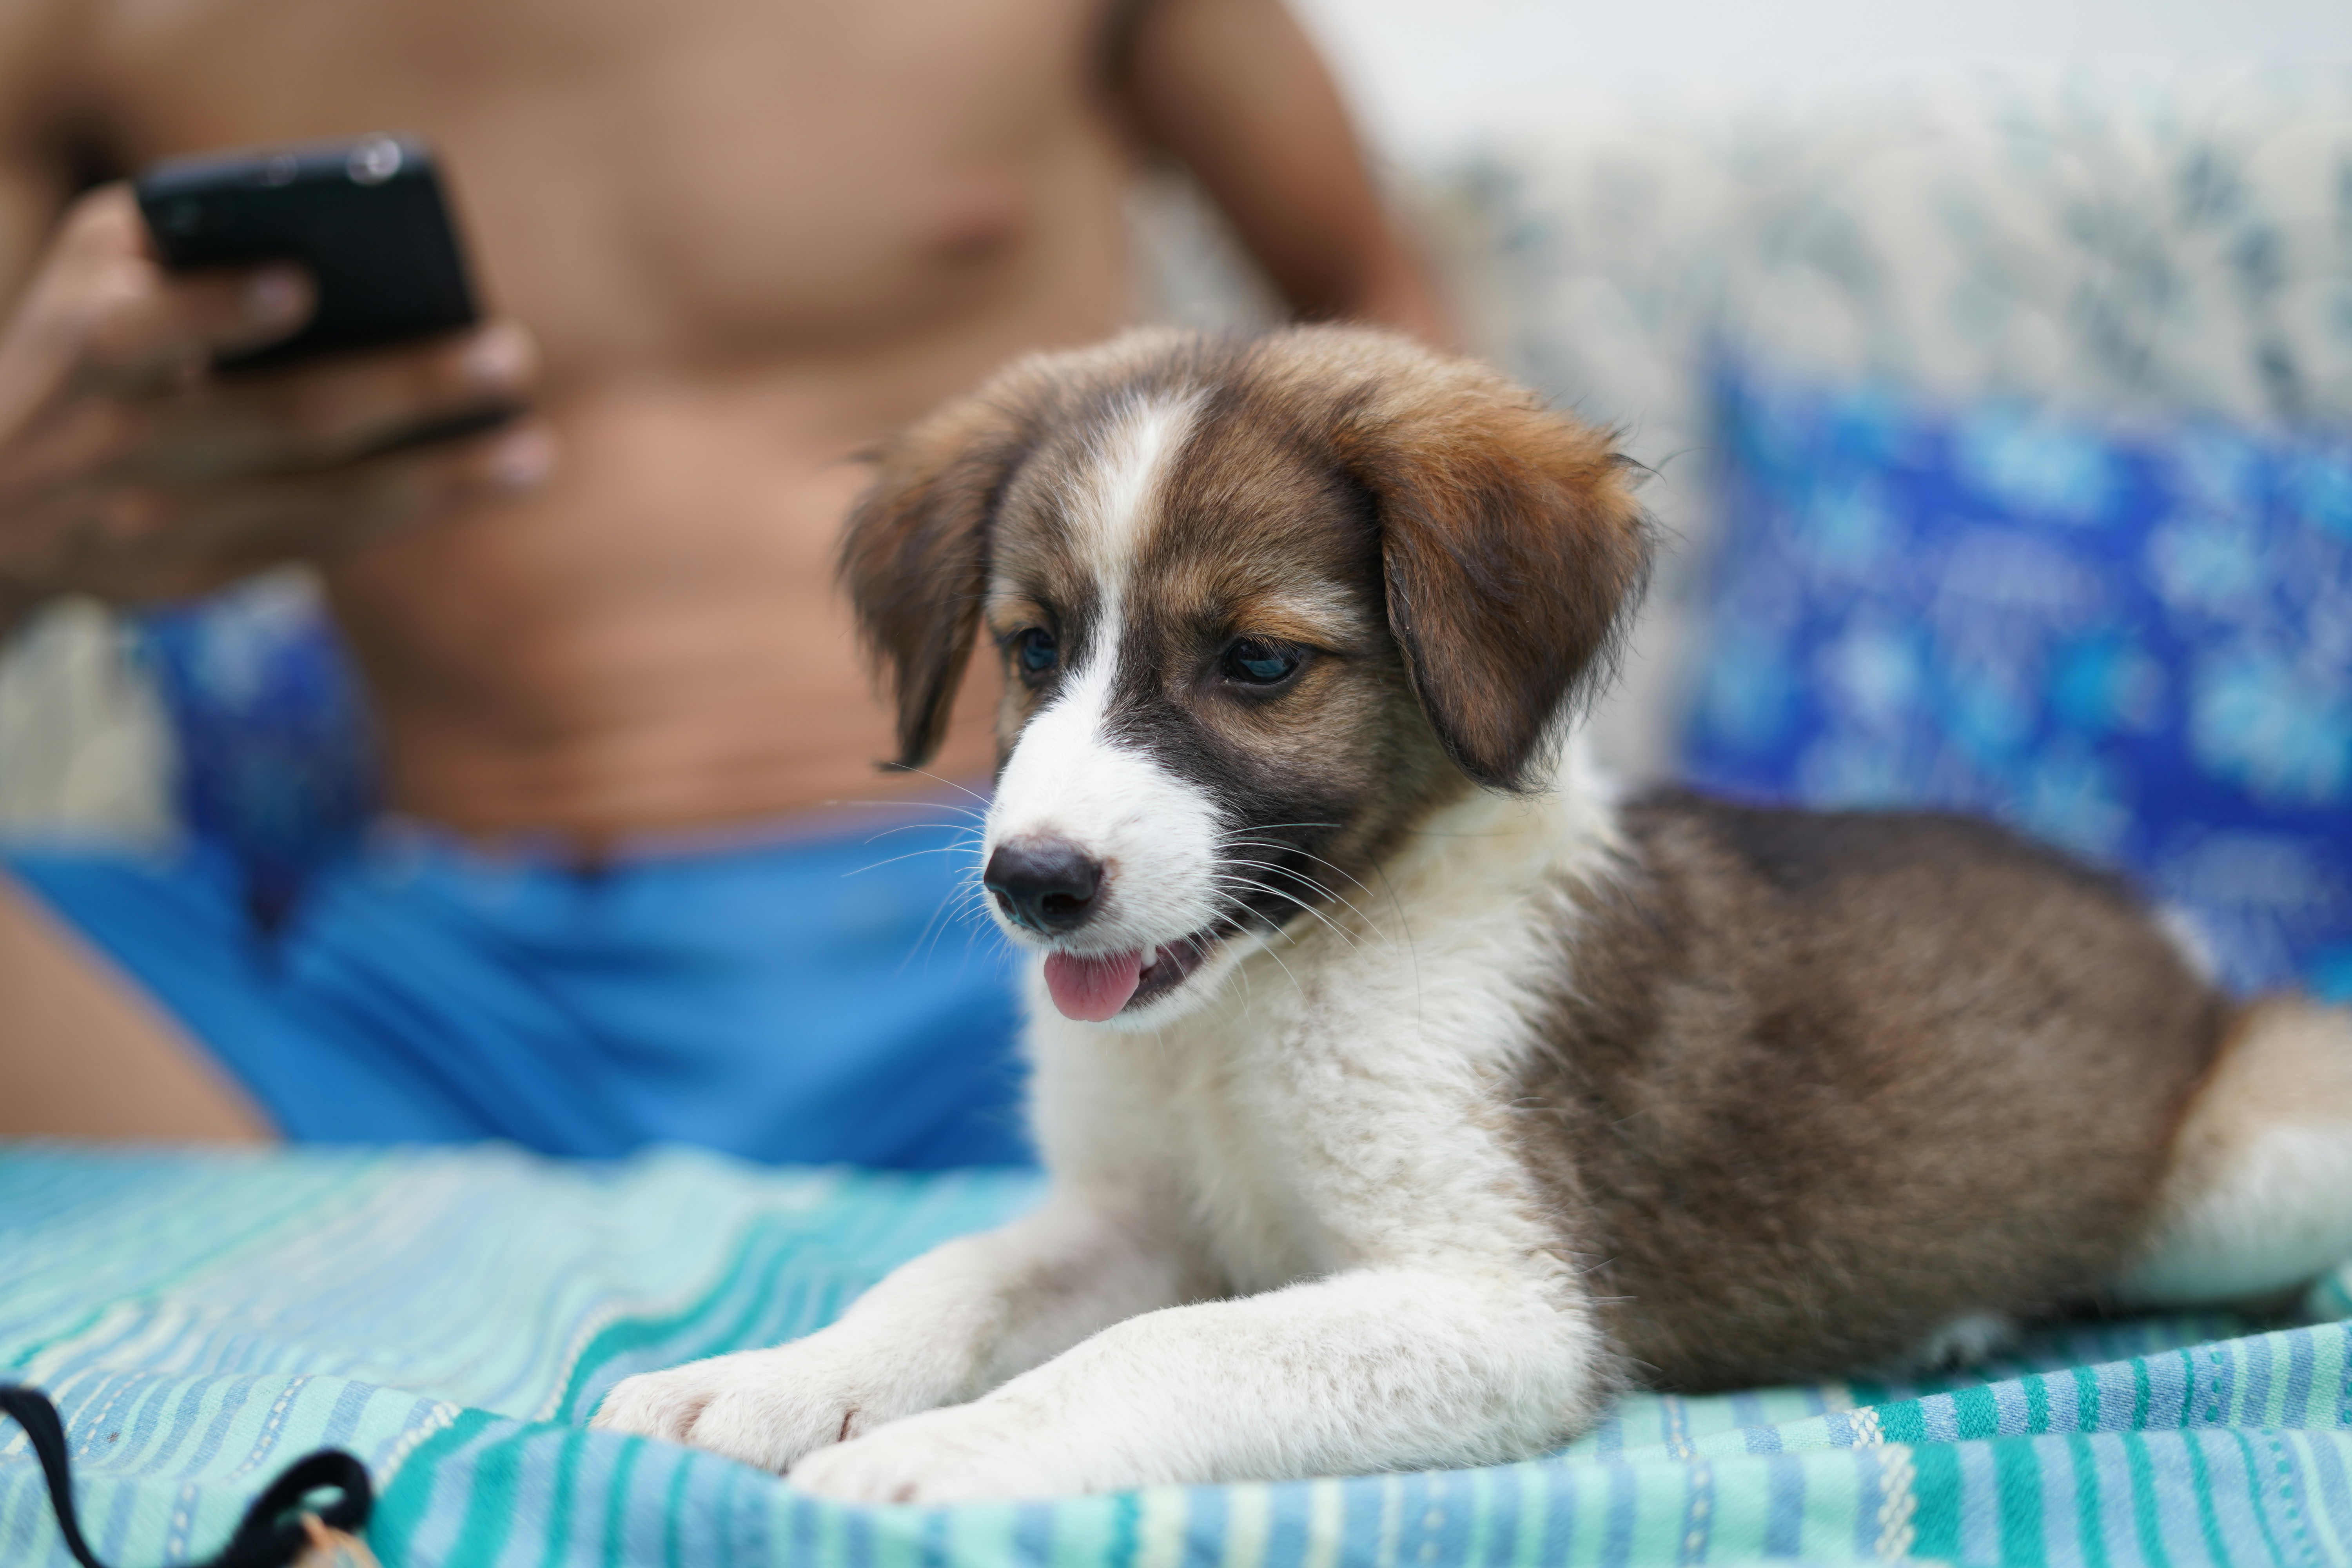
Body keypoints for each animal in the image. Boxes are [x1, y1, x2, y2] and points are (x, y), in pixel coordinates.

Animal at [593, 324, 2352, 1504]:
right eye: (1031, 649)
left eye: (1258, 662)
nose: (1034, 886)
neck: (1255, 1003)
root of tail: (2179, 949)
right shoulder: (1141, 1216)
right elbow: (949, 1277)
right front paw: (772, 1384)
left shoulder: (1505, 1305)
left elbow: (1161, 1351)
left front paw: (947, 1455)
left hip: (2243, 1173)